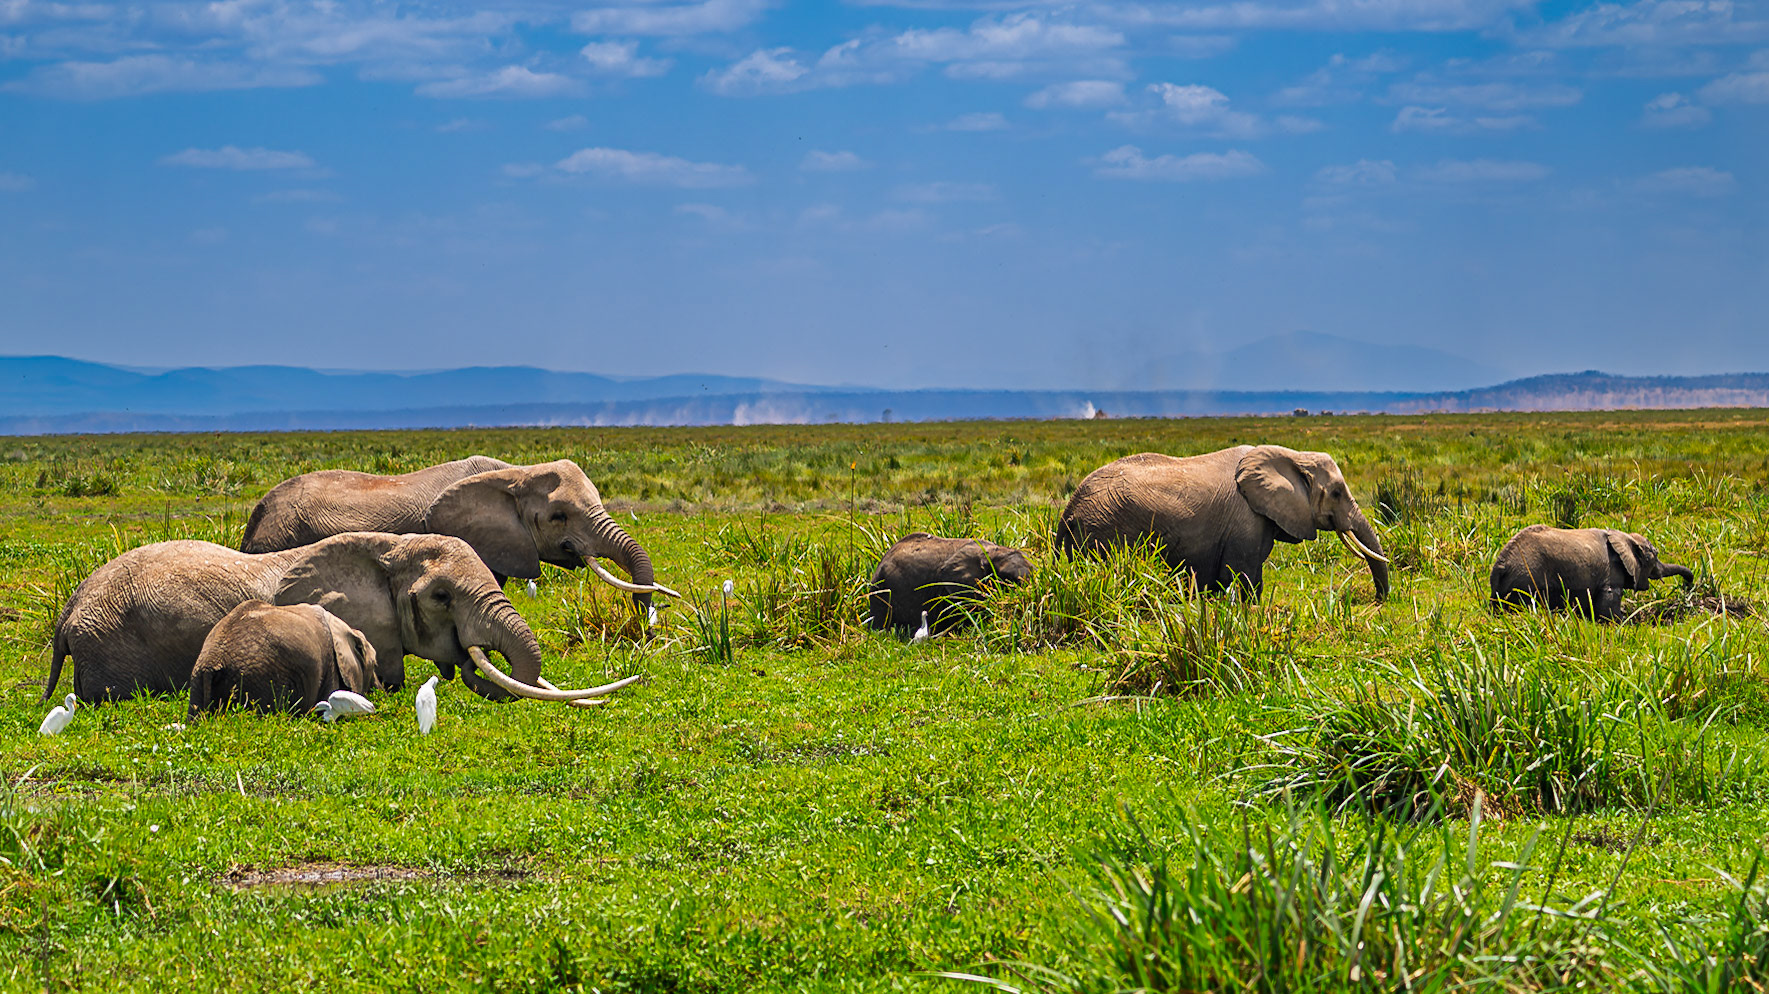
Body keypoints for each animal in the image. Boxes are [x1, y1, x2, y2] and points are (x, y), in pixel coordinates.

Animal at [1055, 445, 1390, 601]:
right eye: (1336, 492)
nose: (1377, 601)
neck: (1291, 455)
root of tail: (1067, 513)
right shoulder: (1246, 521)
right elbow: (1244, 580)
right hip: (1103, 533)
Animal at [1489, 525, 1694, 620]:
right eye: (1655, 556)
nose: (1688, 585)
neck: (1624, 536)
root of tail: (1501, 565)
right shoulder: (1612, 572)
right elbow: (1607, 607)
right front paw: (1627, 621)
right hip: (1525, 582)